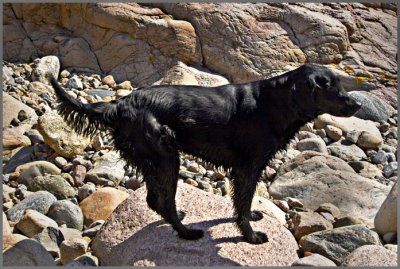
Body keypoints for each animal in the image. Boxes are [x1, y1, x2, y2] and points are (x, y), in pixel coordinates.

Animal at [49, 63, 360, 244]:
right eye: (331, 87)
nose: (357, 105)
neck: (275, 103)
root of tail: (118, 105)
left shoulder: (249, 169)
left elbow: (244, 203)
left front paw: (252, 217)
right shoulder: (247, 167)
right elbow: (242, 205)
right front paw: (250, 236)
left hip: (155, 160)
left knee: (155, 200)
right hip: (166, 157)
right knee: (163, 201)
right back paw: (187, 233)